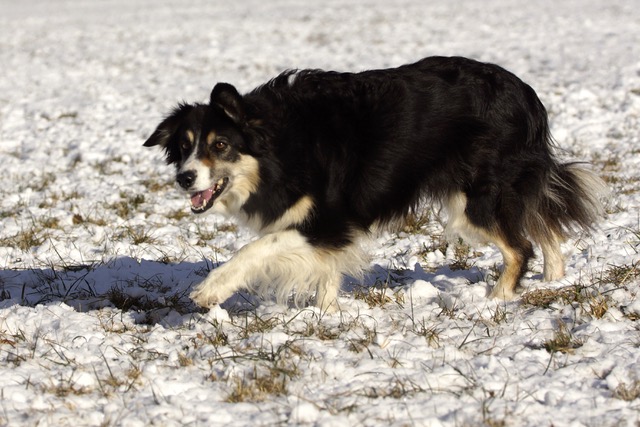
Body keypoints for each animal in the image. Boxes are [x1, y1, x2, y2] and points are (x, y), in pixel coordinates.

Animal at [144, 56, 606, 311]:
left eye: (220, 144)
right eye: (183, 146)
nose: (184, 178)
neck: (280, 145)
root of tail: (526, 95)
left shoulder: (329, 219)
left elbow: (258, 247)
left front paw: (210, 290)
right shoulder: (327, 232)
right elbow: (325, 272)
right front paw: (327, 315)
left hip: (476, 196)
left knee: (520, 245)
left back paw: (496, 300)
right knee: (542, 223)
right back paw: (553, 280)